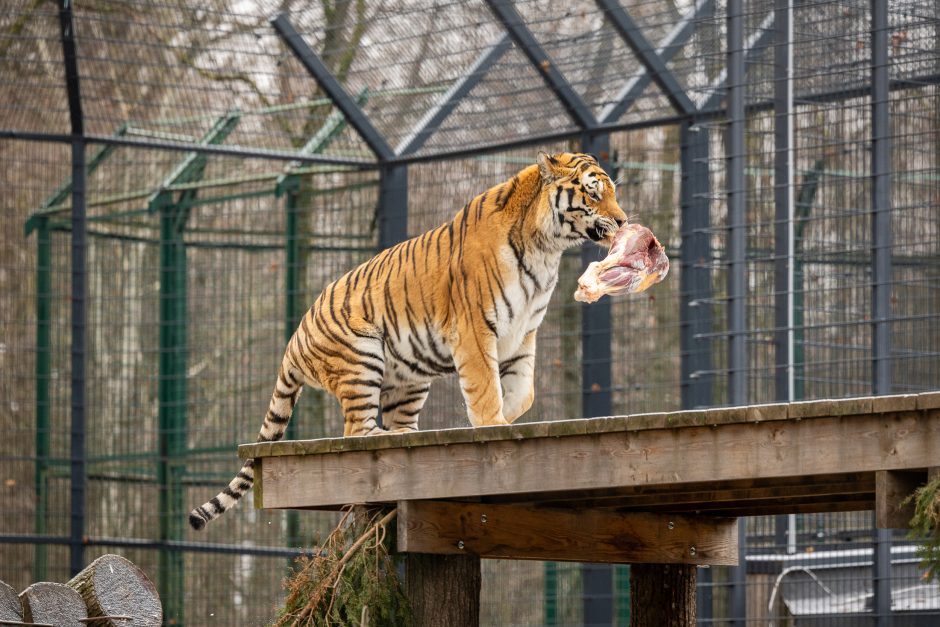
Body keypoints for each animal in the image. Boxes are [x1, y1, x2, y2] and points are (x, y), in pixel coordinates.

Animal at [187, 152, 628, 528]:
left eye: (613, 192)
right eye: (593, 192)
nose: (623, 222)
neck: (546, 248)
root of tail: (292, 343)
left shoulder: (522, 336)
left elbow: (521, 394)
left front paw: (497, 420)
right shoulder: (474, 330)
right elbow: (486, 390)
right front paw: (489, 425)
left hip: (410, 379)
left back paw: (411, 434)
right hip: (362, 353)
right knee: (356, 431)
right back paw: (391, 435)